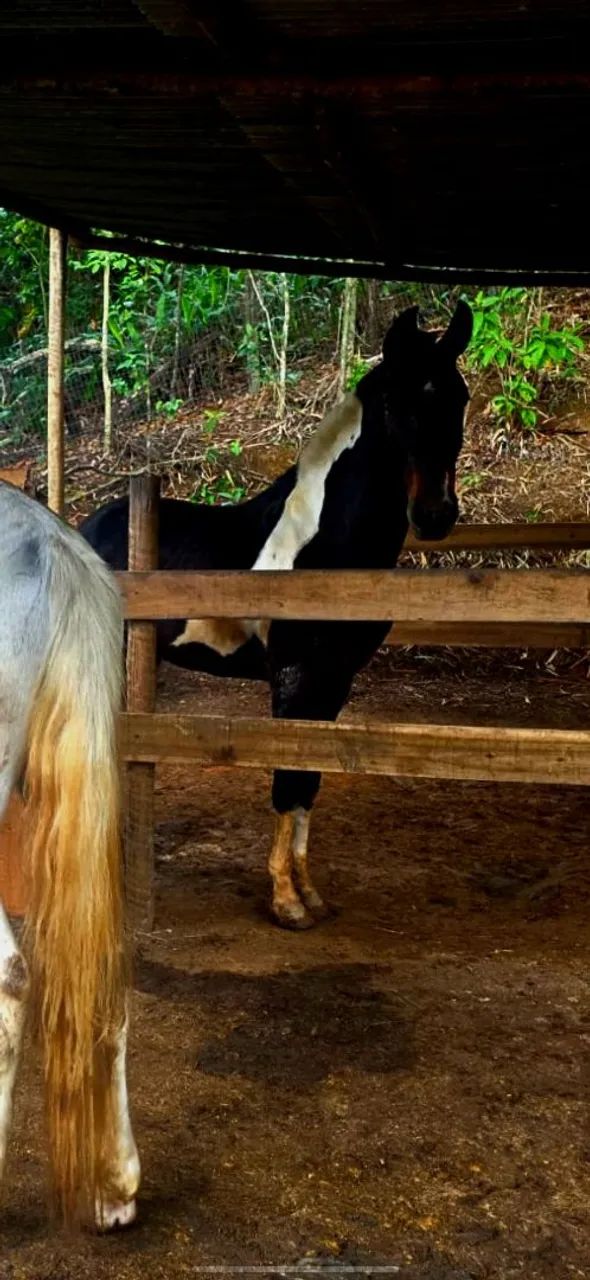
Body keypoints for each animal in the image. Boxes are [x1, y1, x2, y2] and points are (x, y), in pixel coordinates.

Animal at [81, 301, 473, 931]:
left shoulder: (334, 681)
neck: (320, 544)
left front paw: (309, 893)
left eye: (459, 396)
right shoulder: (294, 676)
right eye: (397, 404)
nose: (435, 514)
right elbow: (286, 779)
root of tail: (84, 525)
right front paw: (286, 901)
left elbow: (308, 780)